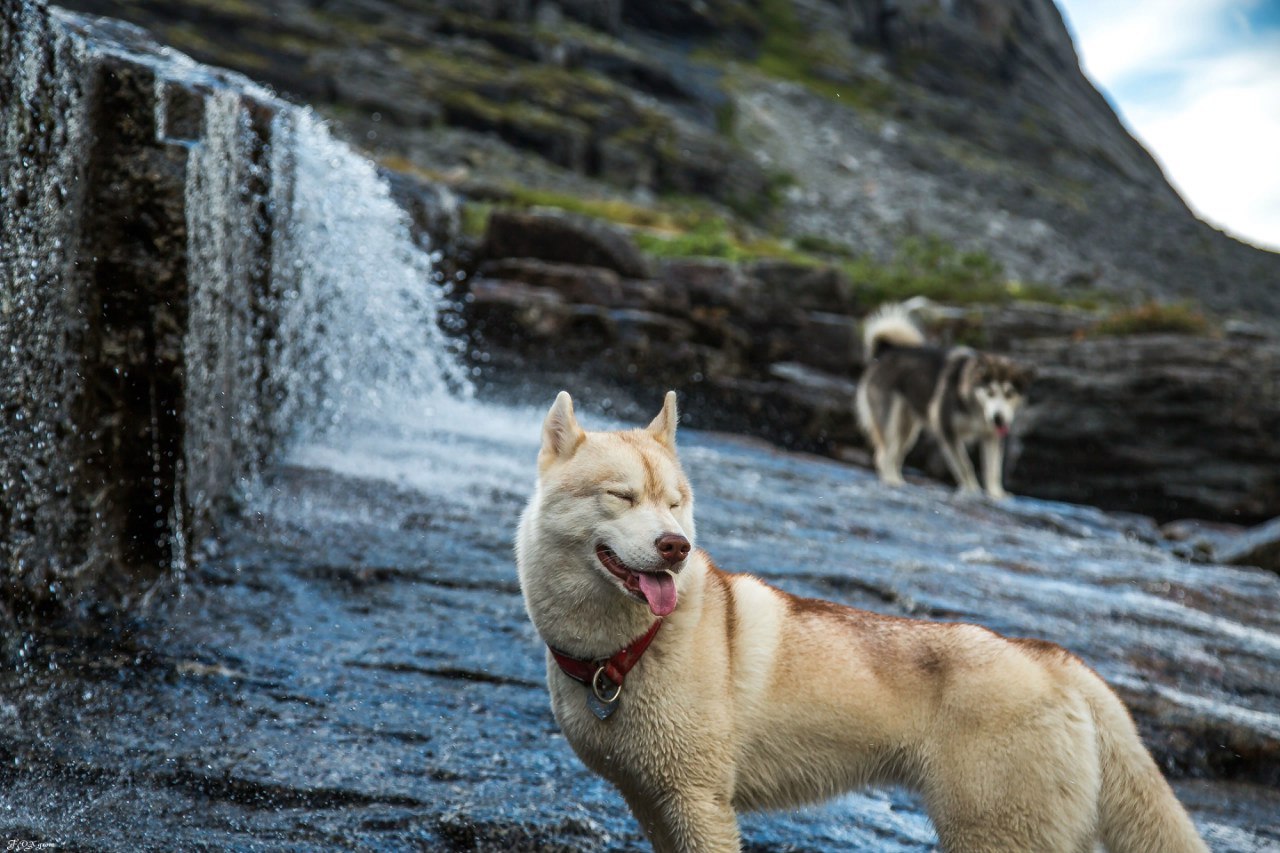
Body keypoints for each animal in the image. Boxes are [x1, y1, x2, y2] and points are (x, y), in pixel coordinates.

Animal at [512, 391, 1208, 850]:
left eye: (676, 503)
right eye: (621, 495)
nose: (676, 547)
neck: (627, 651)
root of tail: (1053, 659)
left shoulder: (699, 802)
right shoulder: (652, 802)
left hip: (995, 834)